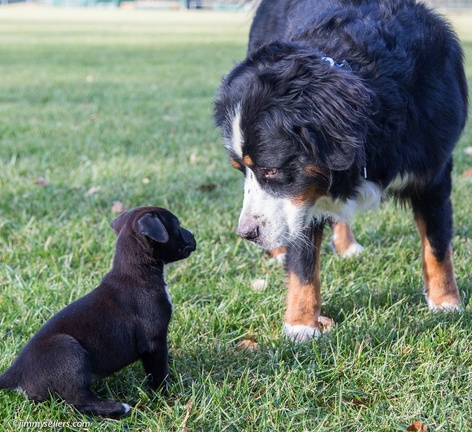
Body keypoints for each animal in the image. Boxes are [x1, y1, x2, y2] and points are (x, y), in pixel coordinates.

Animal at [0, 208, 196, 416]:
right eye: (177, 225)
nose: (193, 235)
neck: (137, 273)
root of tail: (15, 372)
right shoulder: (154, 341)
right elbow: (158, 371)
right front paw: (165, 394)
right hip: (68, 350)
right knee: (78, 401)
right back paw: (118, 408)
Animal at [215, 0, 468, 344]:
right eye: (241, 170)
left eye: (271, 170)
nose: (246, 233)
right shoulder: (302, 196)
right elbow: (303, 261)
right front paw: (301, 323)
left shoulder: (433, 170)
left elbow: (438, 244)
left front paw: (446, 302)